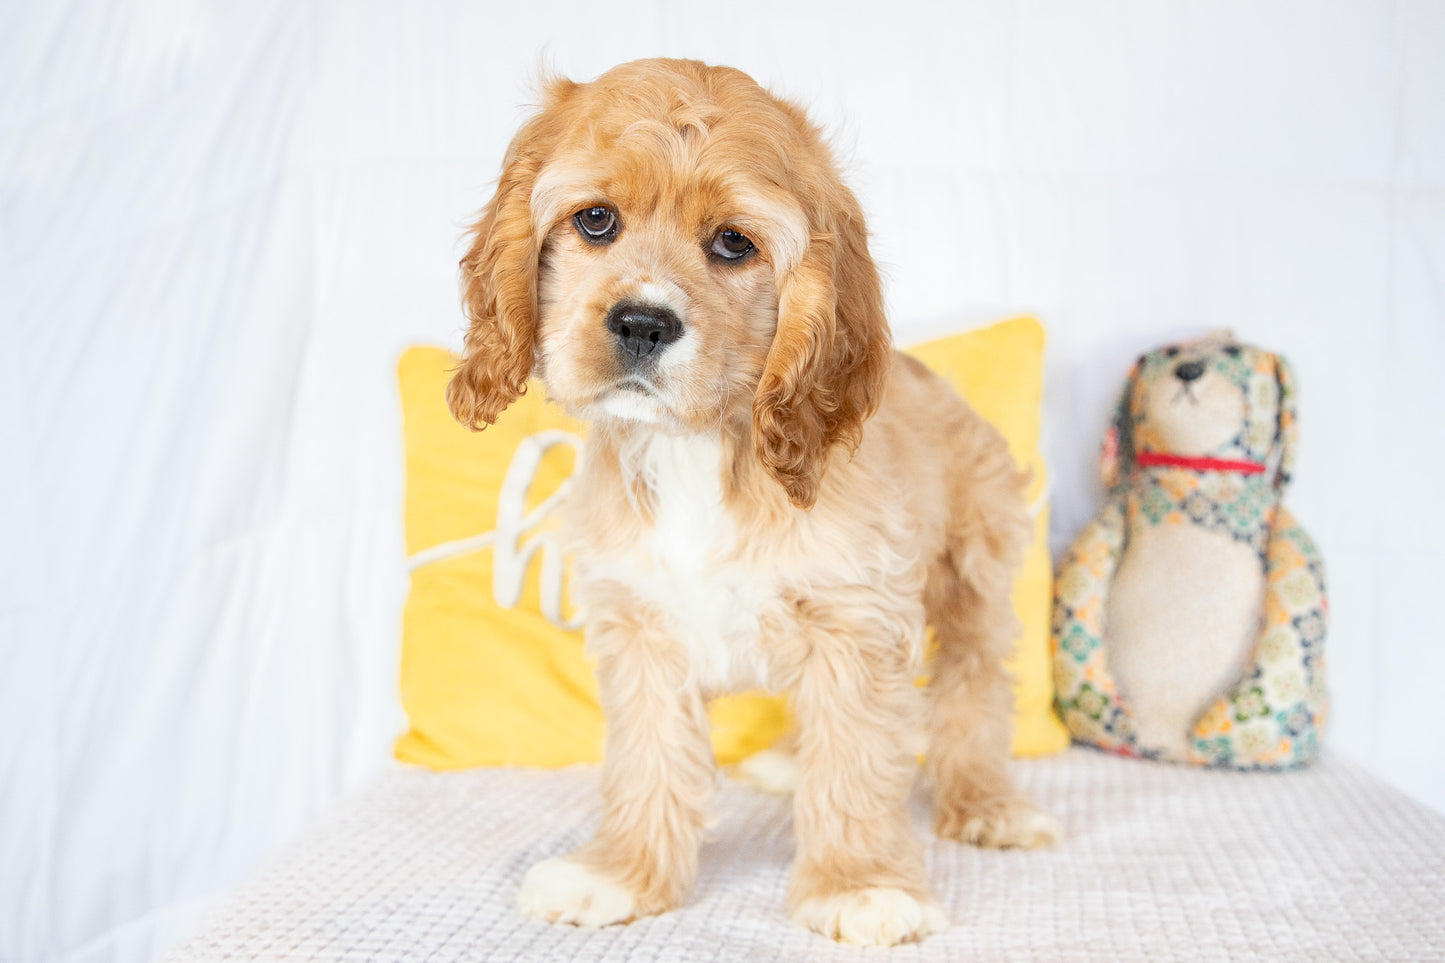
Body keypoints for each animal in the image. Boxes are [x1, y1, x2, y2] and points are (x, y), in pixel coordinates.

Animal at [445, 58, 1057, 942]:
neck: (697, 445)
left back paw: (985, 802)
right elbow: (647, 758)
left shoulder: (851, 617)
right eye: (595, 220)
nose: (642, 322)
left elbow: (856, 756)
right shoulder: (641, 625)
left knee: (972, 684)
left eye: (733, 242)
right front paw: (621, 875)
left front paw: (859, 884)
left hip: (973, 571)